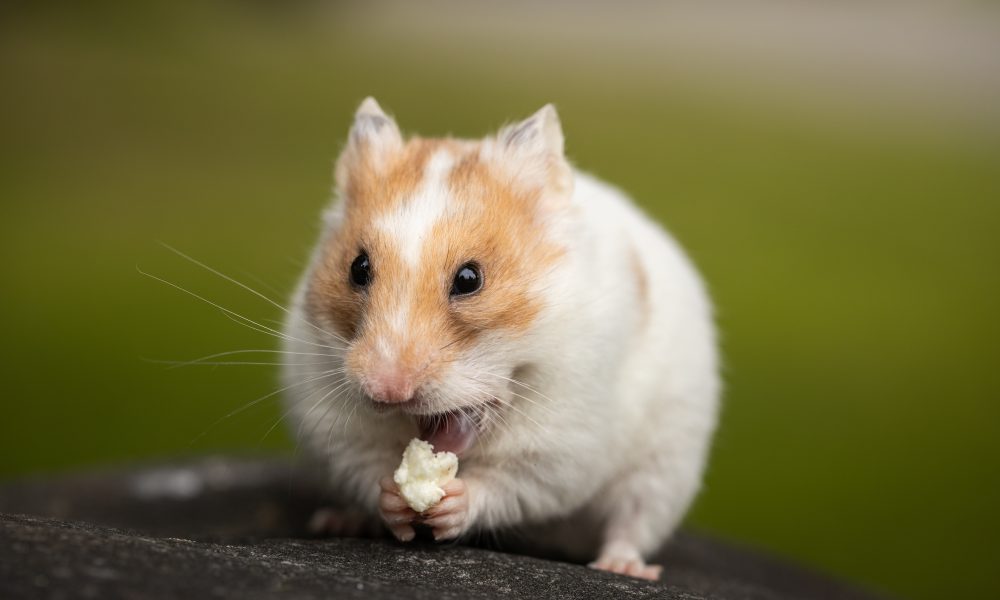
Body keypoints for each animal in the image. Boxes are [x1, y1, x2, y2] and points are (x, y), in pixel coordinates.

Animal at [282, 98, 720, 580]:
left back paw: (622, 567)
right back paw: (338, 520)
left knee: (633, 520)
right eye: (357, 268)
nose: (387, 391)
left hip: (666, 465)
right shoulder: (337, 427)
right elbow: (369, 469)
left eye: (470, 279)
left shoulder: (561, 448)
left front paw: (450, 502)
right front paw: (395, 499)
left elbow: (506, 485)